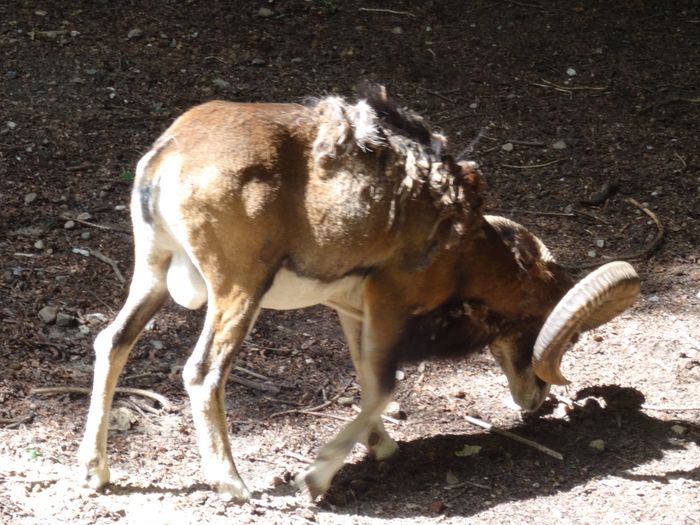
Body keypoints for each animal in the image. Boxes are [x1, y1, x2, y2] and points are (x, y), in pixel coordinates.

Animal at [78, 85, 640, 500]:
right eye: (544, 329)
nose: (537, 399)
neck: (458, 242)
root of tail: (167, 157)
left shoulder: (352, 309)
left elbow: (368, 383)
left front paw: (381, 447)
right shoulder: (390, 303)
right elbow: (384, 389)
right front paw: (315, 478)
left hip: (152, 275)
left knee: (112, 342)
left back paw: (95, 473)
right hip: (238, 292)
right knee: (202, 372)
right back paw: (234, 485)